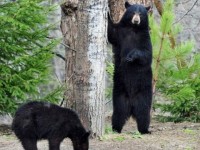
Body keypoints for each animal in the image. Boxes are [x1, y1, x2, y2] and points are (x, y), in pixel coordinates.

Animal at [108, 2, 153, 134]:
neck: (134, 29)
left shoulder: (145, 37)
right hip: (120, 95)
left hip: (144, 95)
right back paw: (116, 129)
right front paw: (107, 14)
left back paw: (145, 130)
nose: (136, 20)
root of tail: (132, 105)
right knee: (118, 114)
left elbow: (146, 53)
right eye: (133, 12)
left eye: (141, 14)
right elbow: (112, 33)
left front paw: (131, 56)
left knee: (144, 114)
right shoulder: (121, 32)